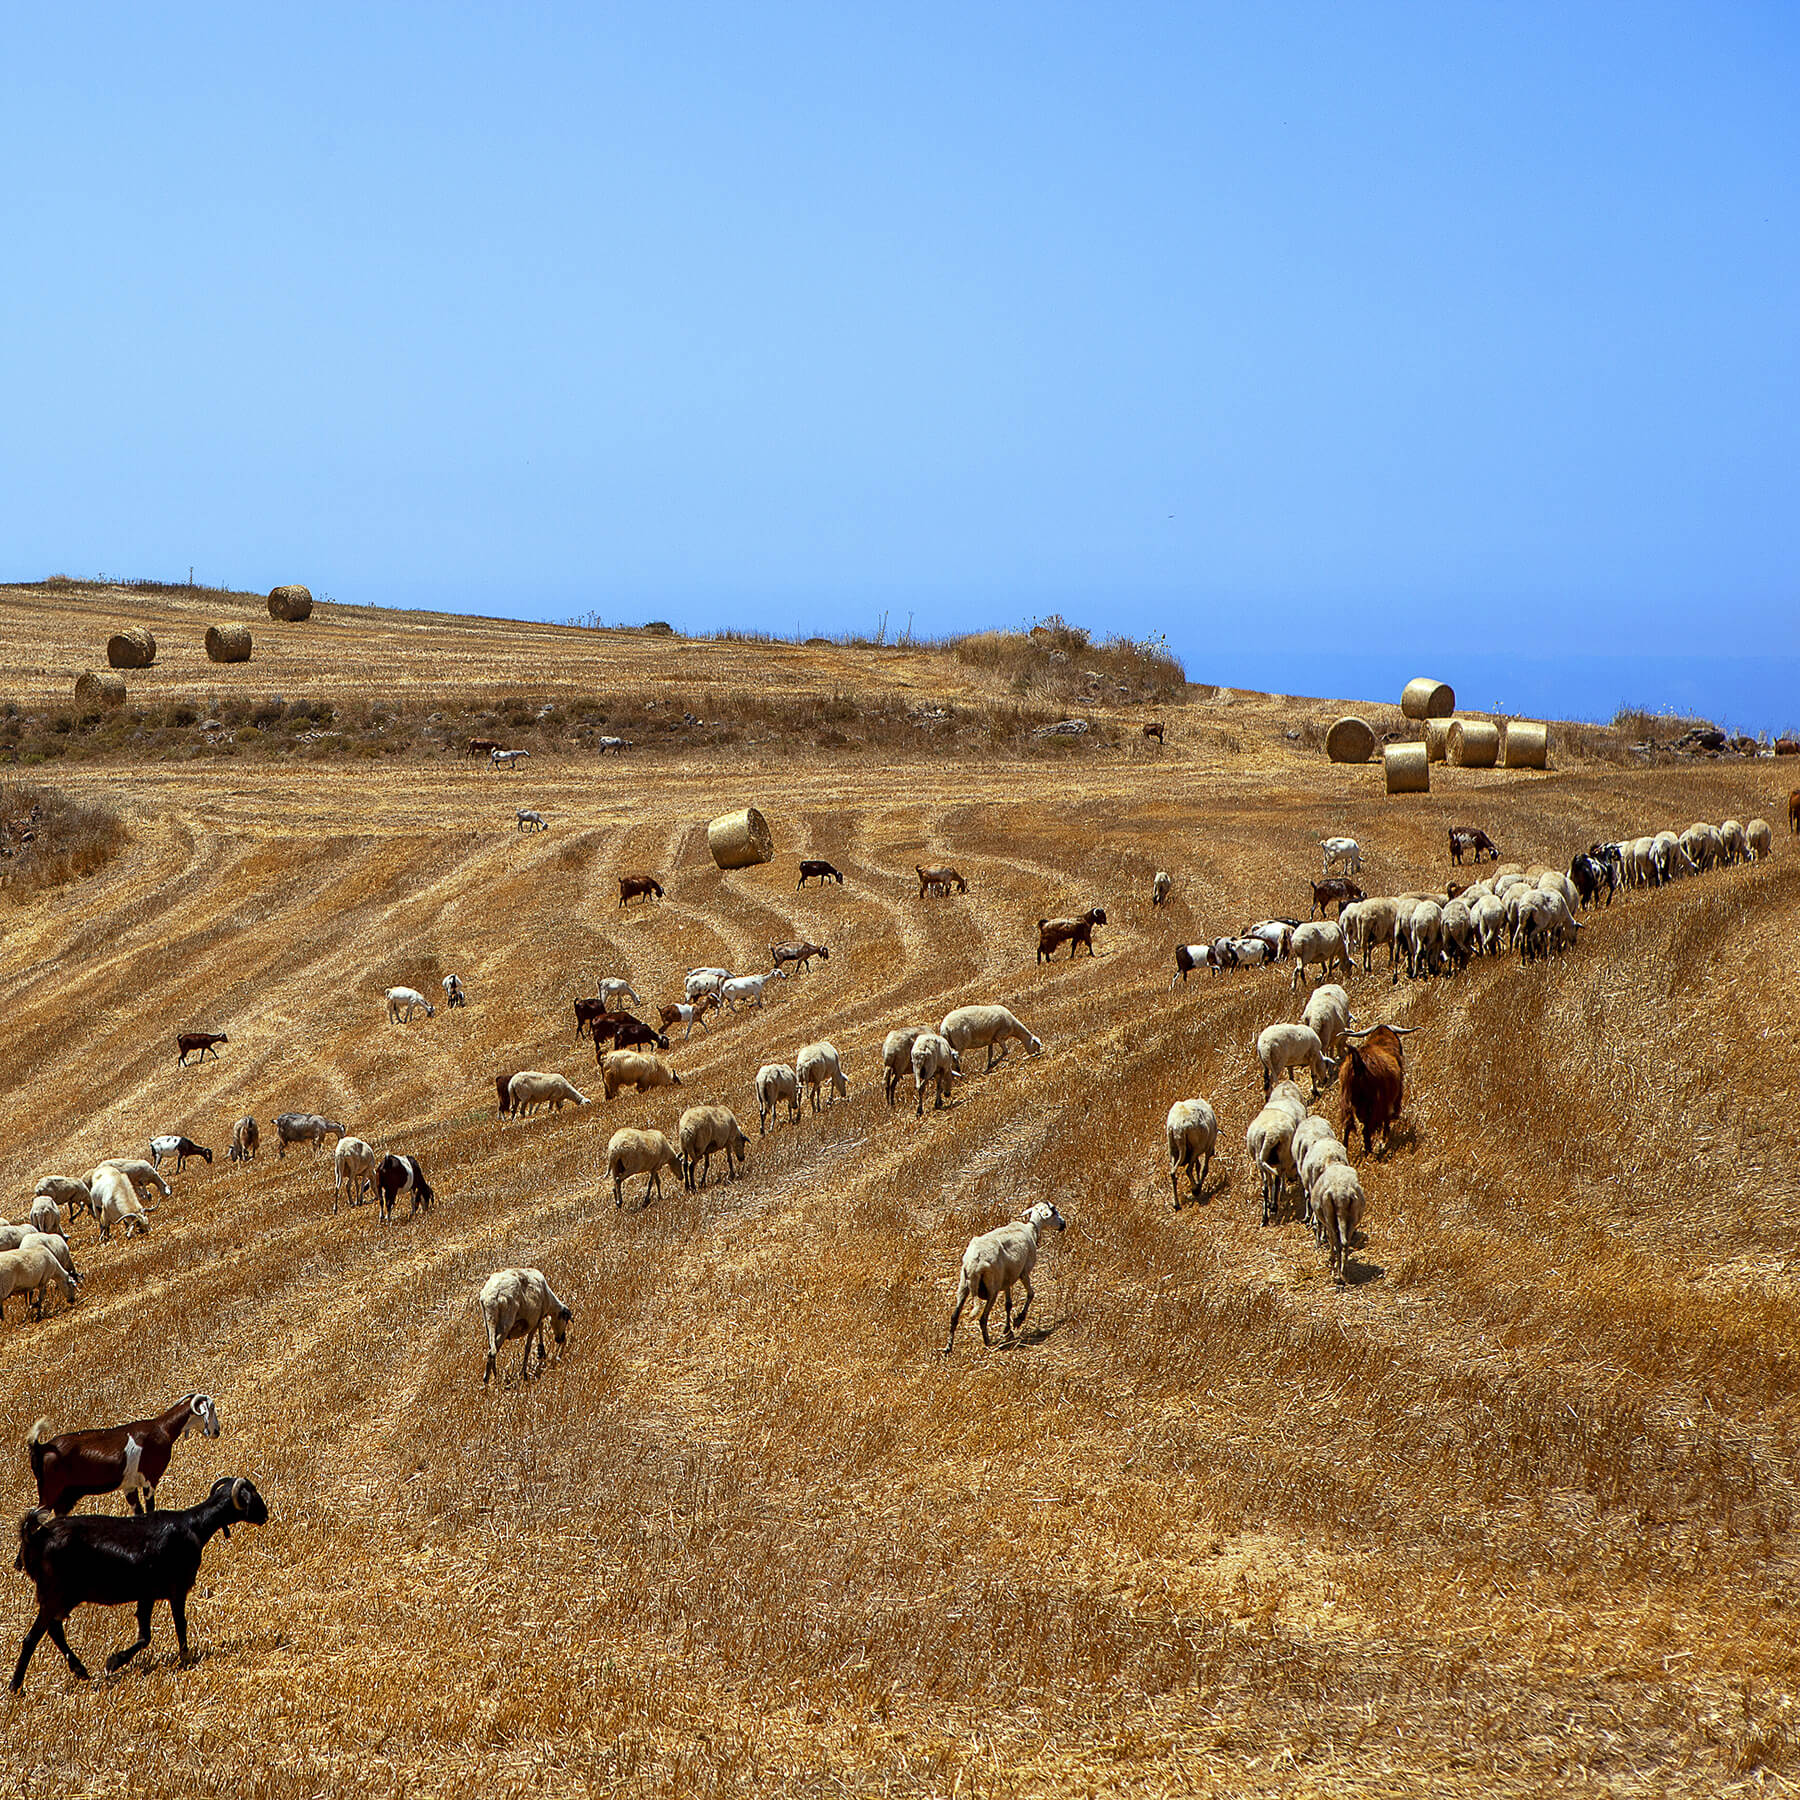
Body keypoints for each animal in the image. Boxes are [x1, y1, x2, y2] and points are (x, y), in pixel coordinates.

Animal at [10, 1476, 266, 1684]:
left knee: (54, 1629)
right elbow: (180, 1624)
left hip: (64, 1597)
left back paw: (80, 1670)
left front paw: (115, 1660)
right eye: (252, 1494)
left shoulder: (147, 1593)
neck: (194, 1525)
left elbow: (145, 1636)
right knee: (32, 1638)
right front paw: (184, 1658)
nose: (265, 1515)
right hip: (54, 1594)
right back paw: (16, 1687)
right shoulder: (177, 1588)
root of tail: (35, 1538)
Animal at [943, 1209, 1065, 1353]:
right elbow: (1031, 1294)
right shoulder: (1023, 1272)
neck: (1031, 1229)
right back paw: (988, 1342)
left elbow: (1008, 1304)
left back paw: (948, 1347)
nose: (1064, 1224)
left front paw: (1008, 1329)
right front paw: (1018, 1320)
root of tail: (974, 1263)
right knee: (983, 1318)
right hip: (992, 1288)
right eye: (1054, 1210)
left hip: (963, 1285)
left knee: (954, 1316)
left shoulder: (1007, 1278)